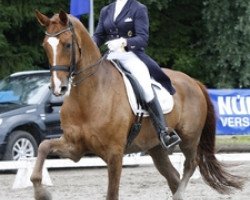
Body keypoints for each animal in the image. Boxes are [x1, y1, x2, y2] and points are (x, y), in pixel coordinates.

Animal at [30, 10, 242, 200]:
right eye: (45, 46)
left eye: (67, 45)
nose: (58, 87)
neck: (89, 95)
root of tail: (194, 81)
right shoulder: (74, 147)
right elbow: (43, 147)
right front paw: (41, 193)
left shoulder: (115, 154)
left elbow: (112, 194)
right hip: (156, 147)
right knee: (173, 175)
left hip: (189, 138)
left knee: (191, 164)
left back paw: (179, 192)